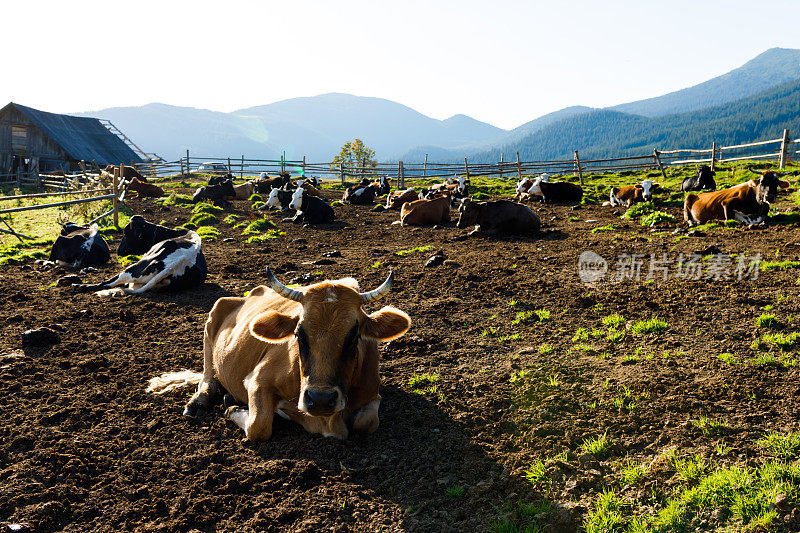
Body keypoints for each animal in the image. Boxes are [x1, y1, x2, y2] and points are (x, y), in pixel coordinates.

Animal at [147, 268, 410, 438]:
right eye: (298, 334)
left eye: (354, 337)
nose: (320, 399)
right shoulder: (257, 379)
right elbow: (259, 426)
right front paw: (235, 409)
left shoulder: (373, 392)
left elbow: (367, 422)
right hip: (211, 322)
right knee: (208, 375)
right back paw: (199, 401)